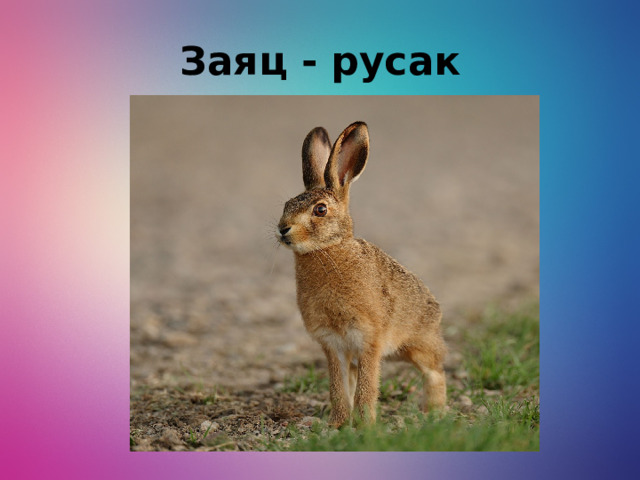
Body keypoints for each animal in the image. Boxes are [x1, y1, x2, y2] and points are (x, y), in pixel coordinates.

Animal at [277, 121, 447, 427]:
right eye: (286, 205)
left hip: (418, 345)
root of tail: (435, 308)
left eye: (320, 210)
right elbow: (338, 387)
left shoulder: (369, 339)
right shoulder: (333, 343)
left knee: (435, 370)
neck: (329, 249)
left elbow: (367, 387)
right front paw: (338, 424)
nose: (282, 229)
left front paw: (365, 426)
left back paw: (435, 413)